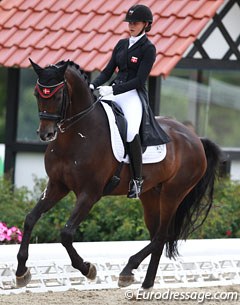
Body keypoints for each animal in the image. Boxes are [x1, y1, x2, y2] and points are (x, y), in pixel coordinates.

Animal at [14, 58, 221, 288]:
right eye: (36, 94)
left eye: (58, 95)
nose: (46, 134)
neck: (77, 135)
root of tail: (196, 139)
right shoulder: (57, 186)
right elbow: (30, 219)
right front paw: (21, 272)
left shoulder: (90, 193)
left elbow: (66, 234)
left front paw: (88, 269)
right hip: (151, 195)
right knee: (156, 236)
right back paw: (145, 284)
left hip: (173, 194)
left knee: (162, 235)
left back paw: (129, 269)